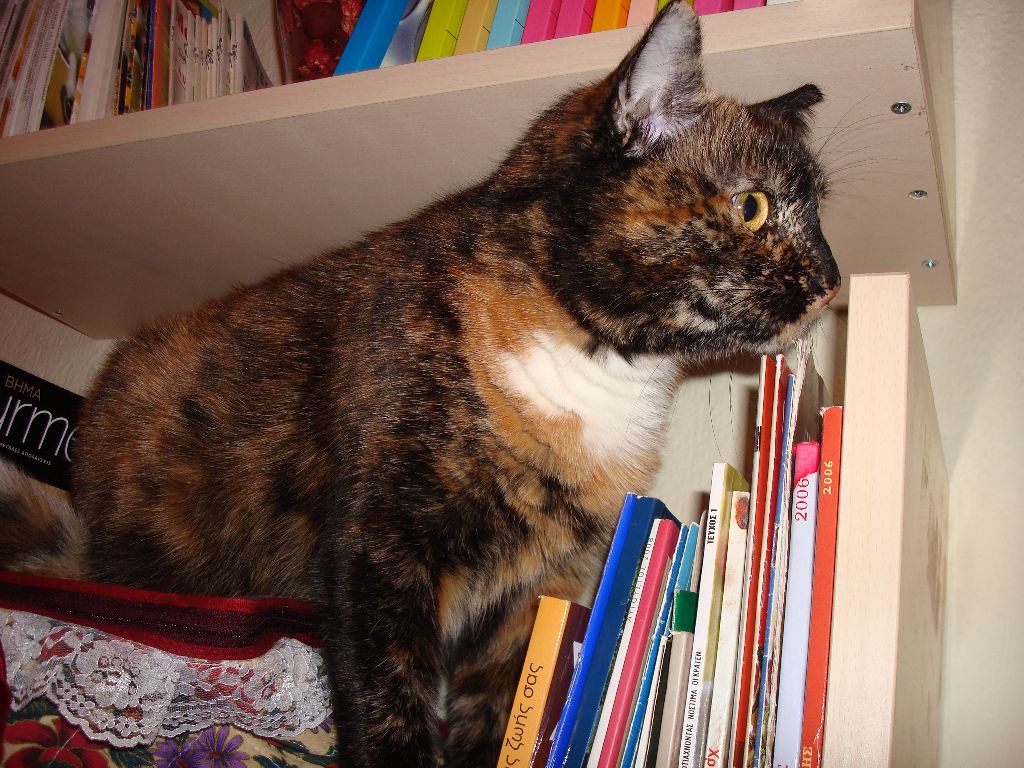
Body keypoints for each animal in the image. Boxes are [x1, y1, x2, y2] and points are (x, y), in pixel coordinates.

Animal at [0, 3, 839, 766]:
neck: (595, 356)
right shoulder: (378, 554)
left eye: (818, 216)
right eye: (753, 205)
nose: (832, 280)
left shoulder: (533, 594)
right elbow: (387, 705)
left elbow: (494, 721)